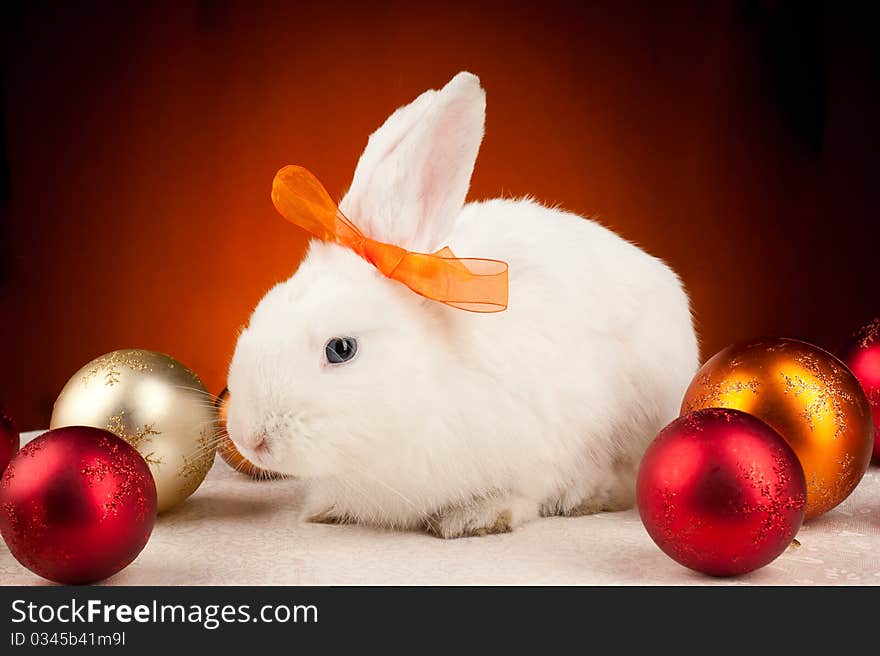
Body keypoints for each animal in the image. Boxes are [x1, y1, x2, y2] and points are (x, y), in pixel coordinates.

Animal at [227, 72, 700, 540]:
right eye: (261, 312)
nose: (251, 438)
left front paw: (478, 517)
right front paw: (326, 509)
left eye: (341, 349)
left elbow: (523, 490)